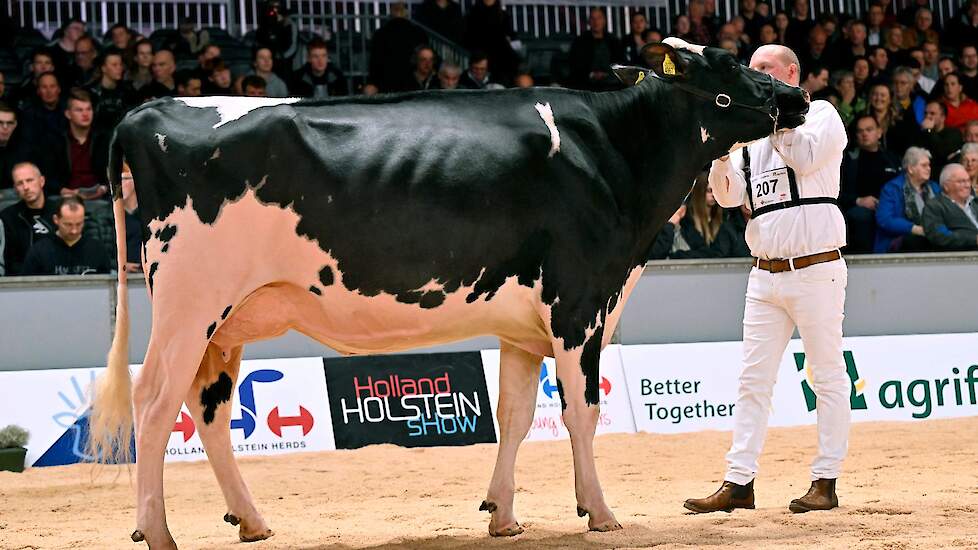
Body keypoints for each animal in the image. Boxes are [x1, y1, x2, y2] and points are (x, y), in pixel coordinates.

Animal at [89, 36, 808, 548]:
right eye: (728, 64)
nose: (798, 96)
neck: (614, 152)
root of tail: (147, 111)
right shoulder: (580, 303)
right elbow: (582, 411)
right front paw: (599, 511)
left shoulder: (524, 322)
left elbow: (516, 415)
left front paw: (503, 515)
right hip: (189, 306)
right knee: (154, 403)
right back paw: (157, 532)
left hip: (225, 321)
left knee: (207, 410)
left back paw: (251, 520)